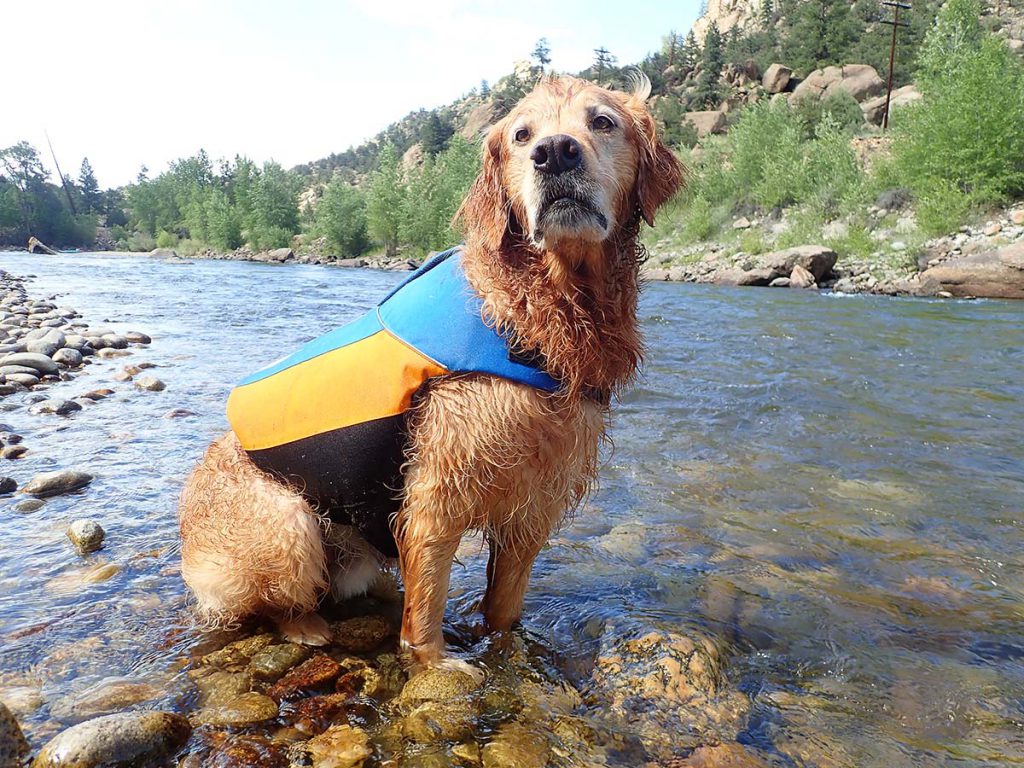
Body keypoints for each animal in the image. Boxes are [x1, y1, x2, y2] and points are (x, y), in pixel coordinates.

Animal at [180, 75, 684, 671]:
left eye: (602, 122)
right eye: (521, 135)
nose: (555, 152)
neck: (535, 309)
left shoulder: (536, 501)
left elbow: (504, 607)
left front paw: (507, 647)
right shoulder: (435, 493)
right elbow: (426, 611)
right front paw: (437, 663)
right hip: (287, 524)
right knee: (278, 601)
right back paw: (307, 627)